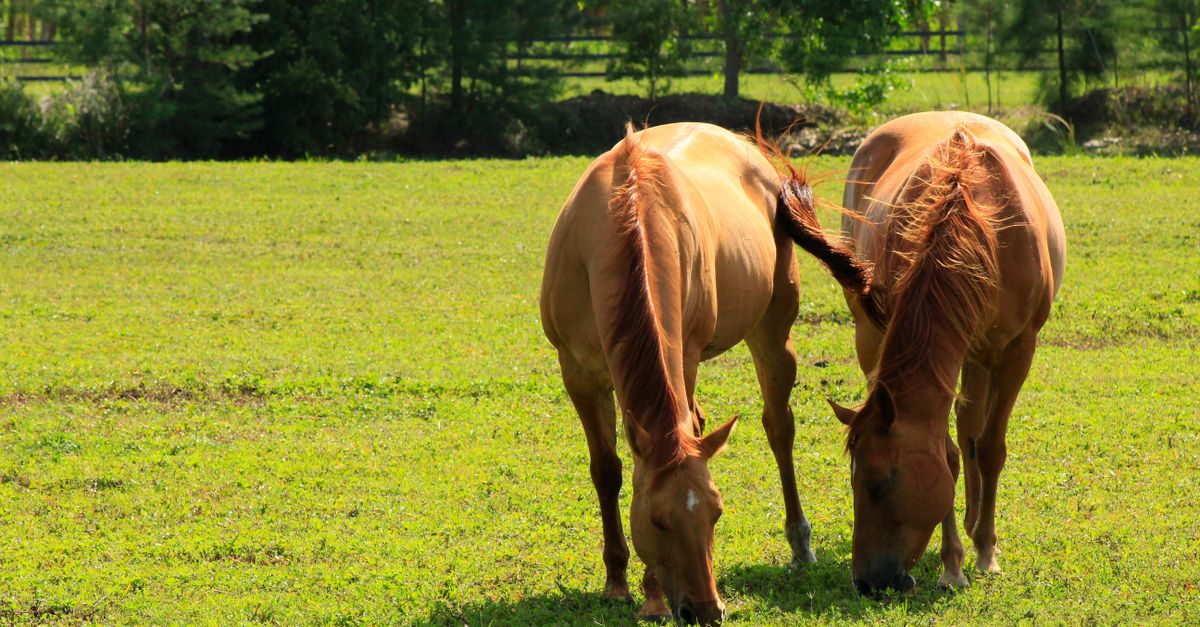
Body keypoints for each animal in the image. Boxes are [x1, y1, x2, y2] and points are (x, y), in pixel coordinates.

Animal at [540, 122, 871, 623]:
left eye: (716, 513)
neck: (622, 216)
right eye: (656, 520)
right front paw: (617, 582)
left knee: (779, 428)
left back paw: (800, 543)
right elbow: (607, 470)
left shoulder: (684, 356)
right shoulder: (577, 371)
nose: (705, 609)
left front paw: (652, 596)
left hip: (771, 333)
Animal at [829, 111, 1066, 594]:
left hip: (980, 353)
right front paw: (952, 562)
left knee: (973, 428)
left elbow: (989, 447)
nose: (867, 582)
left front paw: (986, 551)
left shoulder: (1017, 351)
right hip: (879, 335)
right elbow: (952, 454)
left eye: (877, 484)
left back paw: (978, 524)